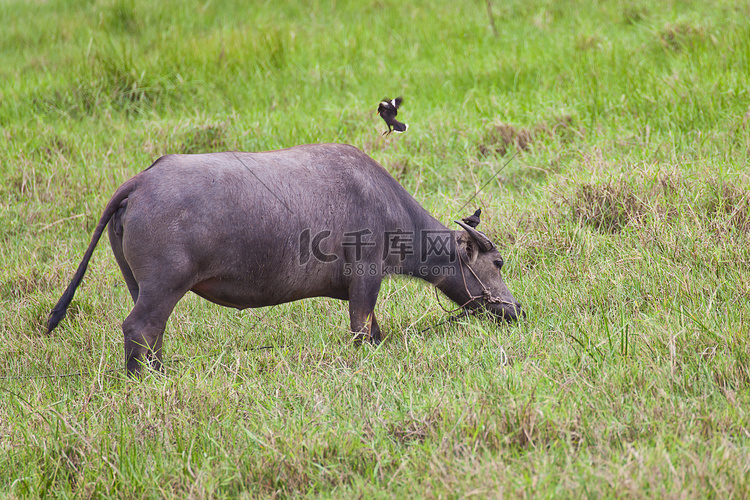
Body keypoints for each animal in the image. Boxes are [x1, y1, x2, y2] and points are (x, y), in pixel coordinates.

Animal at [45, 143, 524, 376]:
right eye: (498, 263)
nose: (516, 309)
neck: (385, 205)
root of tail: (141, 182)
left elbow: (375, 330)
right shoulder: (366, 280)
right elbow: (362, 330)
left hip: (141, 286)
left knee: (152, 333)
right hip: (164, 285)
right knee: (139, 328)